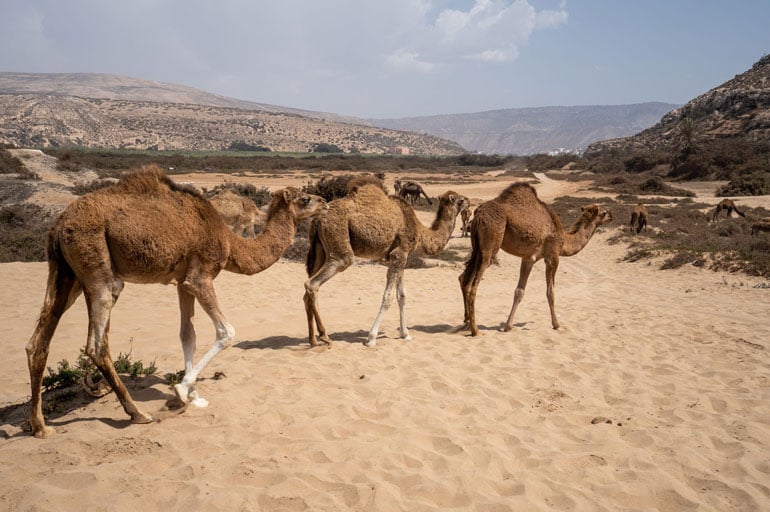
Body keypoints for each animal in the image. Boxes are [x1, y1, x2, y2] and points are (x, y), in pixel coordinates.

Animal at [24, 166, 324, 438]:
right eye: (304, 199)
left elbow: (187, 335)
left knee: (38, 341)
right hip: (97, 267)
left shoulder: (182, 282)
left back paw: (40, 426)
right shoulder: (201, 277)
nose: (323, 203)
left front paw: (193, 396)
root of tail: (59, 225)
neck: (229, 240)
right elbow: (226, 332)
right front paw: (181, 389)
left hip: (65, 273)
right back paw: (137, 413)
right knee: (96, 344)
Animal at [304, 182, 464, 346]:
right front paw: (371, 338)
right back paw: (324, 336)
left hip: (320, 250)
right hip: (340, 249)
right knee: (312, 283)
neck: (419, 231)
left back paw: (313, 339)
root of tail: (317, 220)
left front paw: (405, 334)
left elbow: (402, 296)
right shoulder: (399, 253)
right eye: (461, 200)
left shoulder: (400, 257)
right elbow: (388, 297)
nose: (468, 202)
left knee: (309, 289)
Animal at [456, 183, 612, 336]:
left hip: (476, 248)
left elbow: (519, 291)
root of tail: (478, 215)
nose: (611, 215)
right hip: (490, 247)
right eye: (603, 212)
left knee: (464, 278)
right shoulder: (553, 256)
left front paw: (508, 326)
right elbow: (551, 292)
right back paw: (475, 330)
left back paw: (466, 321)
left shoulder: (528, 259)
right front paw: (556, 325)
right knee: (473, 286)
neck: (564, 239)